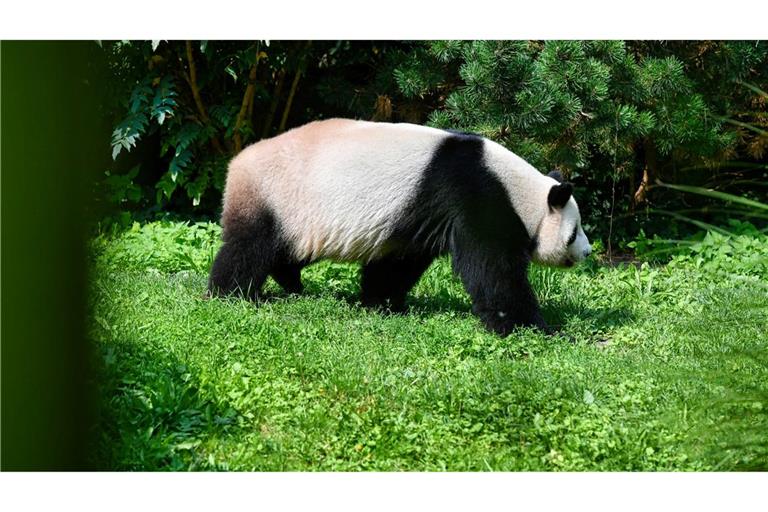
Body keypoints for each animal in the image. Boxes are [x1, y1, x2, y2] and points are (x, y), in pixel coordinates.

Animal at [207, 119, 592, 336]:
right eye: (574, 232)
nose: (588, 252)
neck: (519, 190)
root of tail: (237, 162)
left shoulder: (417, 214)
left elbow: (399, 261)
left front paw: (382, 303)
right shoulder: (476, 195)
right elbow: (492, 268)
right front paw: (536, 327)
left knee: (287, 250)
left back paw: (290, 282)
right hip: (277, 194)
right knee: (250, 247)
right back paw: (231, 294)